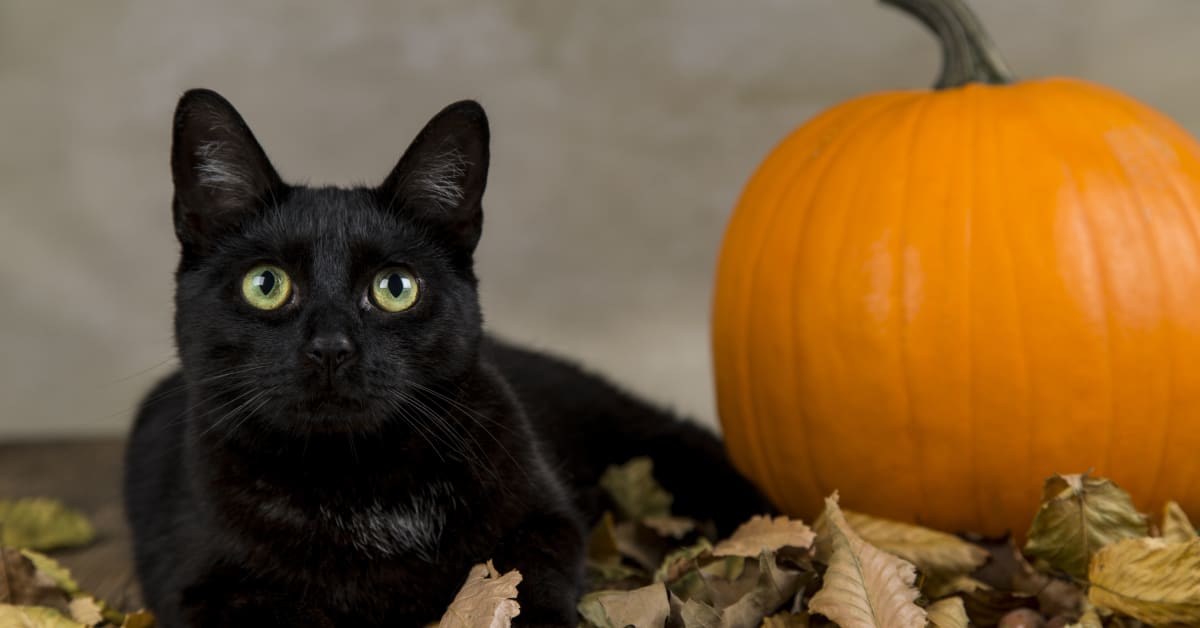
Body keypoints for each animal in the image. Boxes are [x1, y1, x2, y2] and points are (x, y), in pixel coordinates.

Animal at [124, 89, 777, 628]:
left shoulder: (545, 524)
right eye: (266, 284)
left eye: (395, 288)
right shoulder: (203, 586)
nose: (331, 347)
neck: (357, 481)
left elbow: (526, 591)